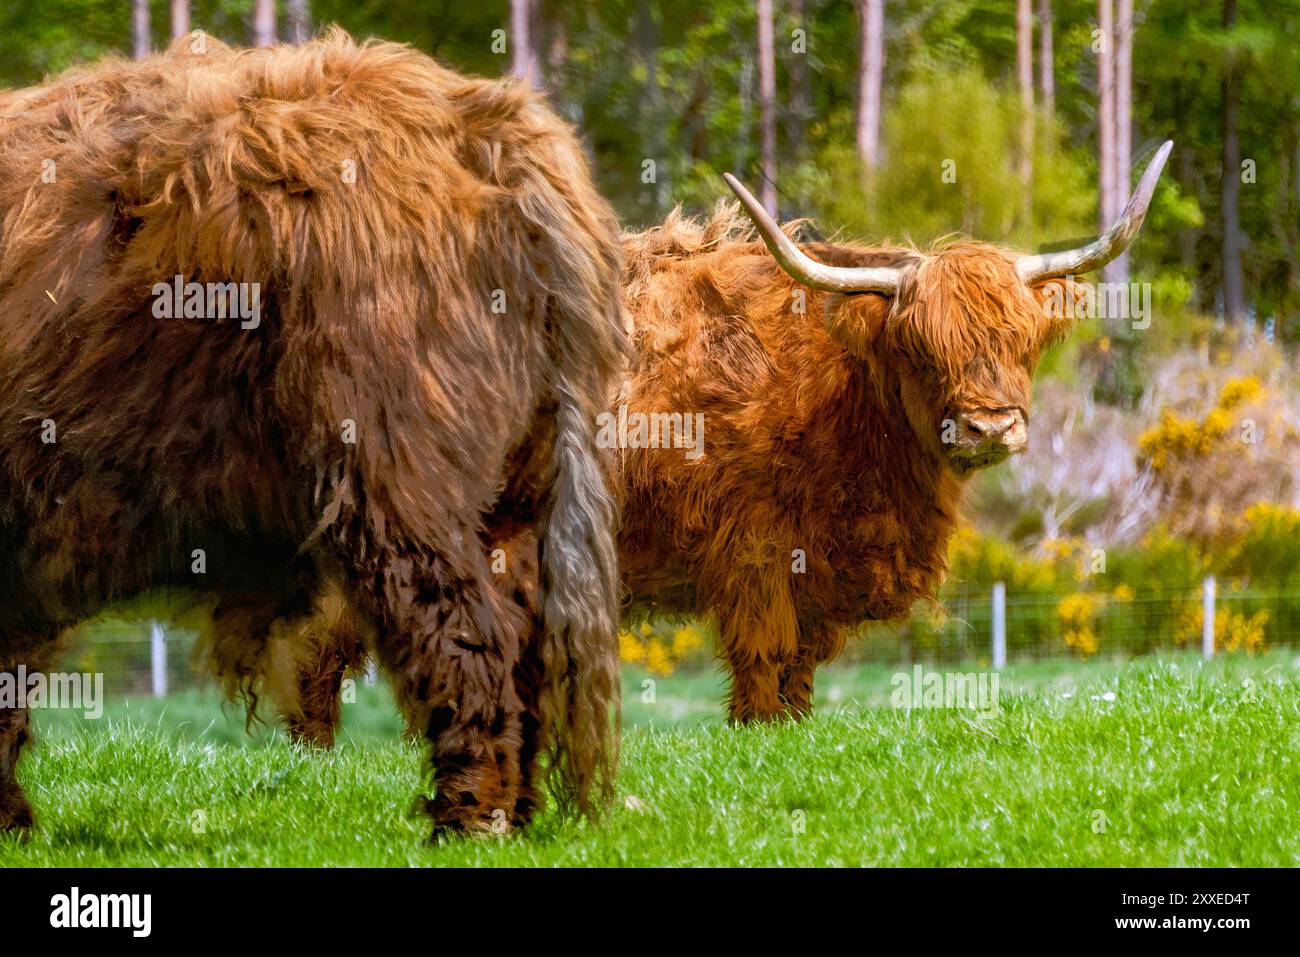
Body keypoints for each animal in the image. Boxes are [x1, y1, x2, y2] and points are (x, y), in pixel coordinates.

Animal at [0, 31, 629, 837]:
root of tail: (480, 120)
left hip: (397, 469)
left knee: (470, 635)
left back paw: (465, 821)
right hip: (516, 487)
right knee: (525, 642)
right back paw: (514, 816)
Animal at [236, 138, 1180, 738]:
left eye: (1020, 340)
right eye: (921, 345)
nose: (988, 424)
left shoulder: (817, 567)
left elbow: (802, 667)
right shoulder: (755, 549)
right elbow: (764, 659)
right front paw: (758, 732)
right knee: (317, 653)